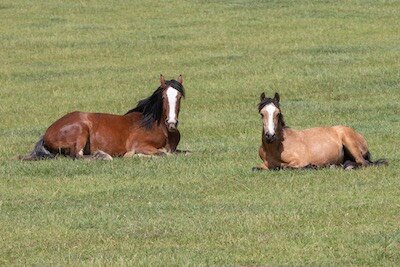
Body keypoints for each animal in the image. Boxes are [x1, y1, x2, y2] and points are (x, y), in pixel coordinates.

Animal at [20, 74, 186, 160]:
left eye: (179, 97)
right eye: (164, 97)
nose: (172, 123)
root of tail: (46, 134)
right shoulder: (140, 145)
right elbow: (164, 153)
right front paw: (132, 155)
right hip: (81, 130)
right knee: (78, 155)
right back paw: (103, 156)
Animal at [253, 93, 388, 171]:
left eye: (277, 113)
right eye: (262, 114)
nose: (270, 136)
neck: (276, 148)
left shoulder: (299, 161)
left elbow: (284, 167)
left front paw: (311, 166)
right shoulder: (264, 165)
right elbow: (256, 168)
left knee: (363, 163)